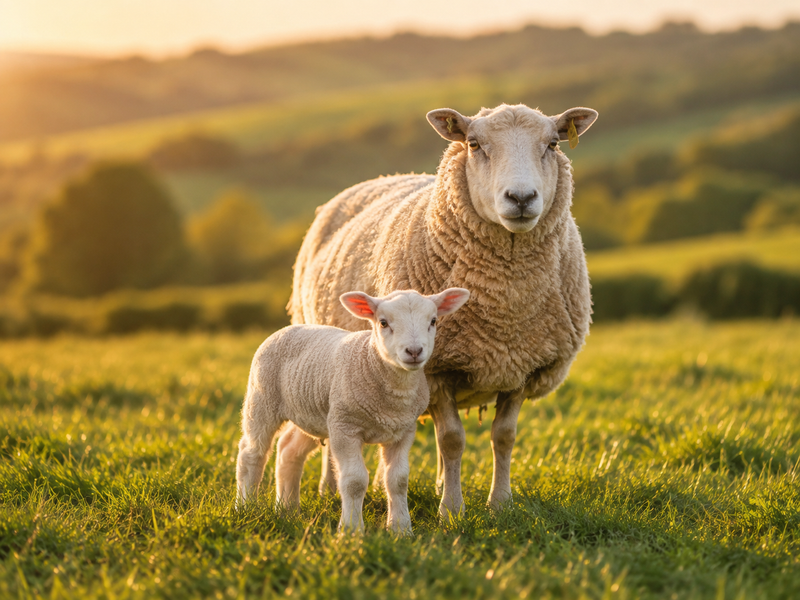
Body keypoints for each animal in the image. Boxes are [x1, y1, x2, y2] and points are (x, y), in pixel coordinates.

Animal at [236, 287, 470, 534]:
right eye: (383, 322)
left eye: (433, 321)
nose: (414, 351)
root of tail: (289, 327)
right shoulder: (344, 427)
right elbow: (354, 481)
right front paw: (351, 530)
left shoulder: (403, 431)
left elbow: (398, 480)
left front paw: (401, 529)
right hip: (262, 399)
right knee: (251, 453)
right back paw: (246, 507)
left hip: (311, 413)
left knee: (288, 449)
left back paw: (287, 510)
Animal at [277, 103, 598, 519]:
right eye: (474, 144)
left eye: (553, 144)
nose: (521, 197)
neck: (505, 310)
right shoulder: (439, 370)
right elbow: (452, 440)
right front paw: (452, 510)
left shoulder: (521, 367)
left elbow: (504, 437)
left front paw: (500, 503)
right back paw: (330, 489)